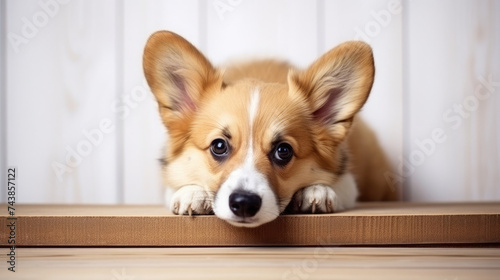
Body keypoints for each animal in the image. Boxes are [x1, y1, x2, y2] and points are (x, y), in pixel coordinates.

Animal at [143, 30, 396, 228]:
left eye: (283, 151)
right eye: (219, 146)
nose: (244, 204)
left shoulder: (348, 181)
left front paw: (317, 191)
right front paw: (192, 193)